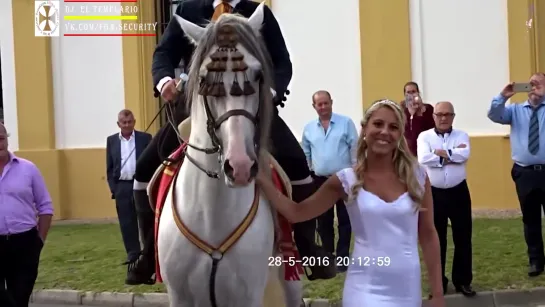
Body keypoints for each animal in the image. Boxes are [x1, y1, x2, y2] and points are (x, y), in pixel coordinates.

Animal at [156, 3, 302, 307]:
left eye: (258, 75)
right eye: (203, 78)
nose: (241, 167)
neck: (212, 213)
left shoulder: (247, 295)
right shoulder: (179, 295)